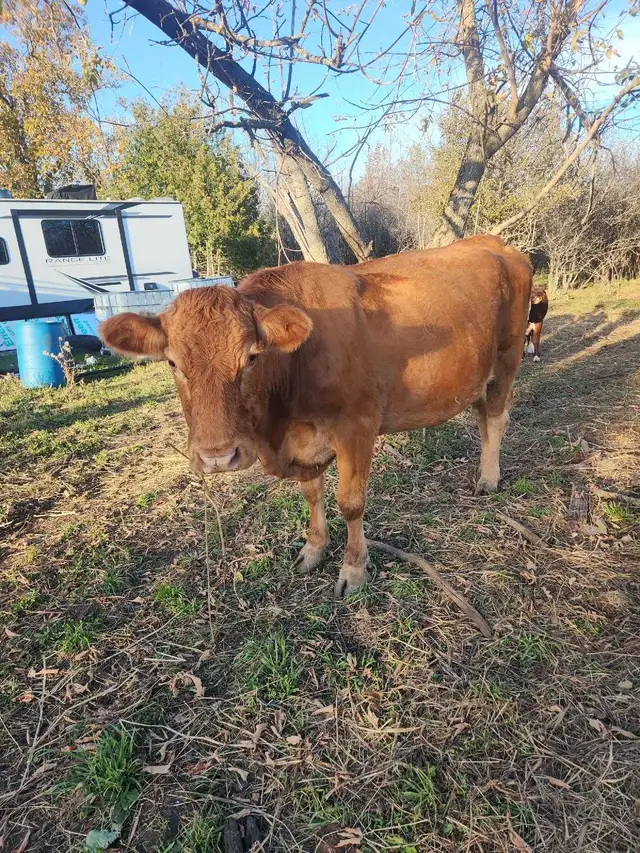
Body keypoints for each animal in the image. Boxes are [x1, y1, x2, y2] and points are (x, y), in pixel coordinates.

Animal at [99, 234, 532, 598]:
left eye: (251, 357)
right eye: (172, 362)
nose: (218, 456)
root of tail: (493, 243)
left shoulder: (357, 427)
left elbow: (351, 502)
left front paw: (353, 570)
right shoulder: (303, 443)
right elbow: (311, 494)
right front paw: (313, 549)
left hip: (507, 358)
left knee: (497, 418)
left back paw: (489, 478)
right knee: (482, 418)